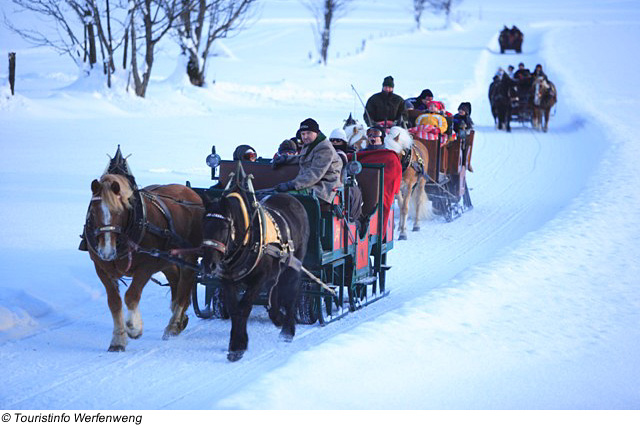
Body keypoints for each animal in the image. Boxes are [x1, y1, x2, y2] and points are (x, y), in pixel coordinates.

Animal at [83, 164, 202, 350]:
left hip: (188, 255)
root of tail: (190, 191)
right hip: (167, 259)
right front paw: (118, 340)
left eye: (119, 211)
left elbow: (131, 295)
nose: (106, 251)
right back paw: (180, 318)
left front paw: (133, 328)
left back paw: (174, 324)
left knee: (185, 284)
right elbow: (114, 302)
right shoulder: (102, 268)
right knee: (176, 281)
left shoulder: (146, 266)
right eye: (93, 212)